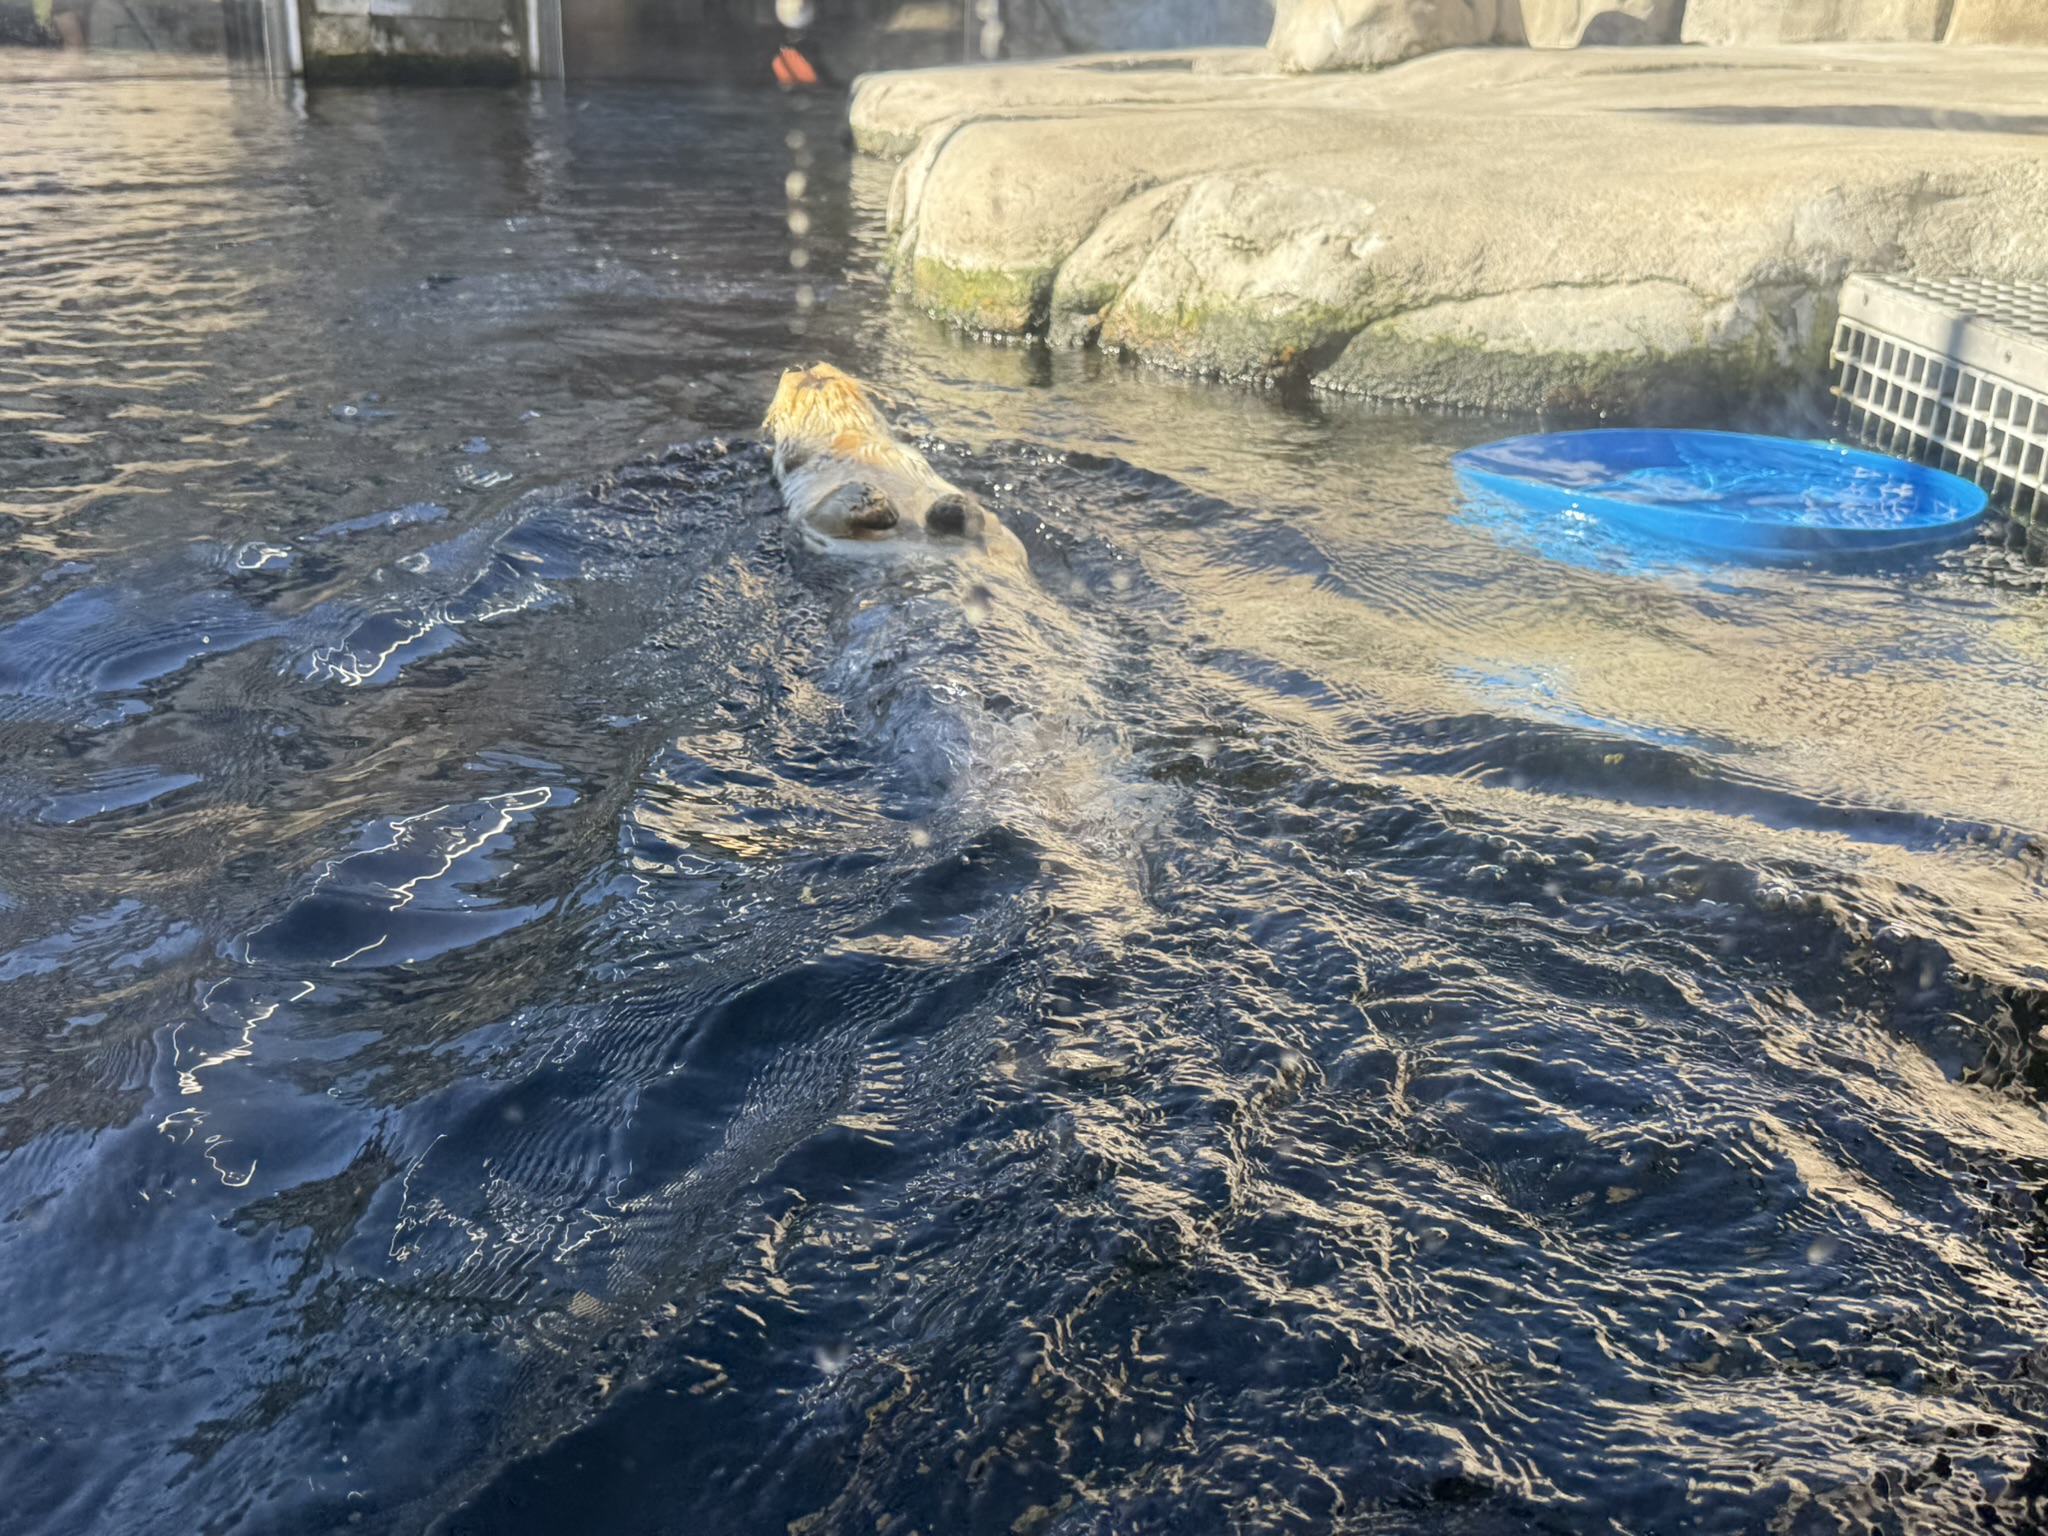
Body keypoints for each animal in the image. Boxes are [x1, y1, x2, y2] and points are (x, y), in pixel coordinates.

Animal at [765, 364, 1032, 573]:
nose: (801, 365)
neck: (850, 446)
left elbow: (995, 526)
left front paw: (958, 504)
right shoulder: (809, 518)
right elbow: (818, 518)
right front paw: (866, 498)